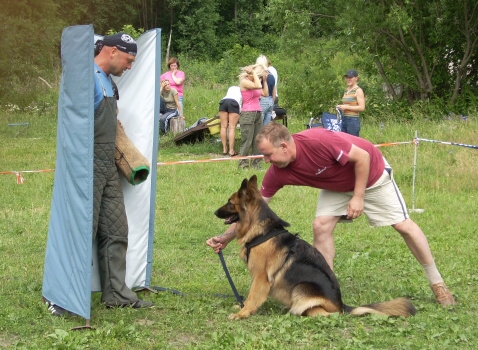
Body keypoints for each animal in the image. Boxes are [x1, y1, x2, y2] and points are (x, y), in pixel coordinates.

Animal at [215, 175, 416, 320]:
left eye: (230, 202)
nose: (214, 212)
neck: (262, 232)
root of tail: (341, 305)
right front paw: (240, 307)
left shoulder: (261, 278)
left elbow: (252, 297)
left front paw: (242, 313)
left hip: (301, 289)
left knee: (324, 314)